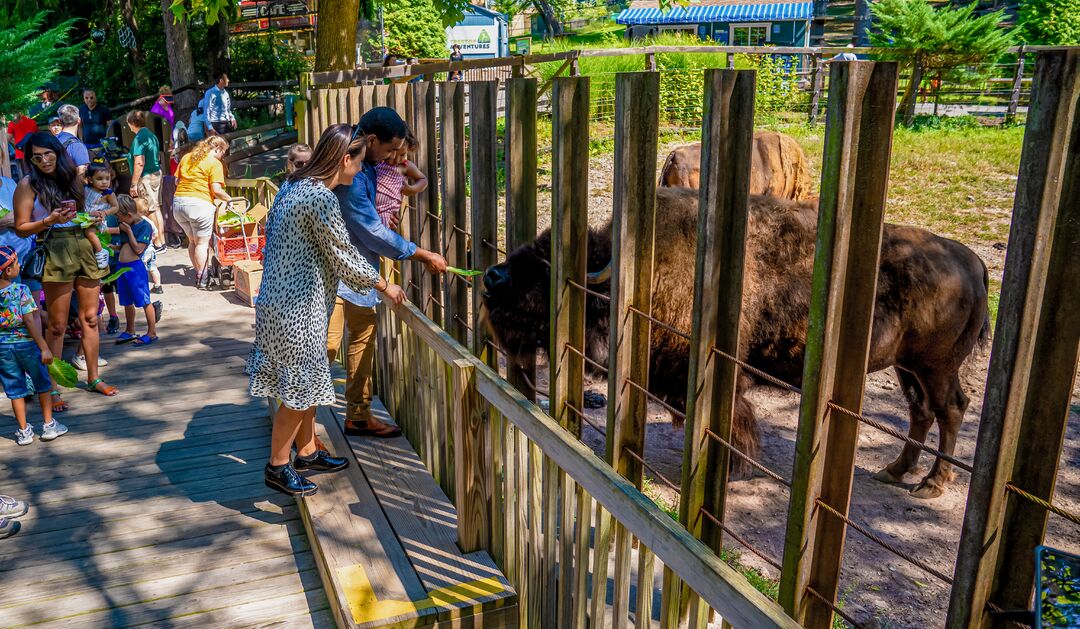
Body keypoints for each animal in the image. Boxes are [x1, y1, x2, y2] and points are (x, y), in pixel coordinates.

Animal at [486, 190, 989, 501]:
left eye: (545, 271)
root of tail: (971, 260)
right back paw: (895, 471)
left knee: (950, 410)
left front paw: (730, 470)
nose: (492, 277)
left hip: (936, 366)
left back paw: (931, 484)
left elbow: (730, 421)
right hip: (908, 366)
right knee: (921, 412)